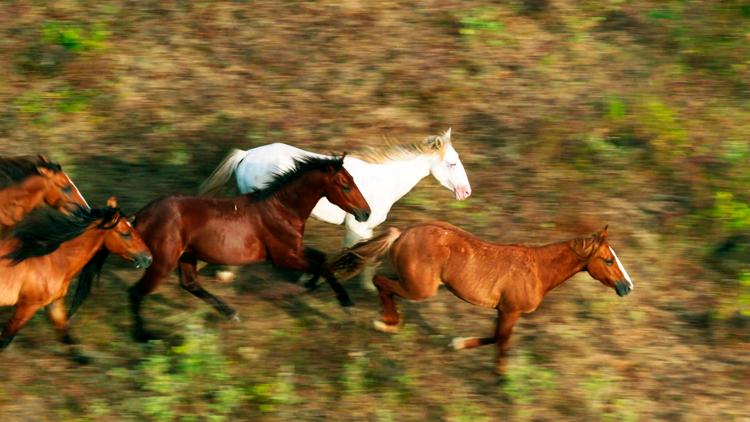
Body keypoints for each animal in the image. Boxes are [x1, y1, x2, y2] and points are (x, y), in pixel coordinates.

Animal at [0, 198, 153, 356]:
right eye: (126, 233)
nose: (149, 258)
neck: (51, 259)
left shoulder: (54, 303)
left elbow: (66, 335)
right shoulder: (28, 305)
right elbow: (4, 340)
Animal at [131, 153, 374, 342]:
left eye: (353, 180)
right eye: (345, 185)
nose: (366, 213)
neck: (282, 209)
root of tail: (141, 216)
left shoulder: (295, 249)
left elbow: (321, 258)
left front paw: (309, 285)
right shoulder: (284, 257)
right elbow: (323, 267)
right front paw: (347, 304)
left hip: (187, 256)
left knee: (190, 284)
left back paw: (231, 314)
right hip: (163, 262)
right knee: (136, 291)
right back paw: (143, 336)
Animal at [198, 129, 470, 286]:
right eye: (452, 163)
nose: (466, 192)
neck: (384, 181)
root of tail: (247, 154)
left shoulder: (366, 227)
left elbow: (366, 255)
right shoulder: (356, 227)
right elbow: (349, 254)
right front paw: (315, 279)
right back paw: (226, 273)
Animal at [328, 223, 636, 374]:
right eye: (609, 260)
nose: (627, 286)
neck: (537, 271)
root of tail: (403, 234)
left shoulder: (502, 310)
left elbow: (497, 336)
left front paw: (458, 344)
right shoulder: (511, 310)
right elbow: (501, 339)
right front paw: (499, 375)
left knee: (383, 281)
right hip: (420, 289)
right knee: (382, 283)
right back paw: (386, 323)